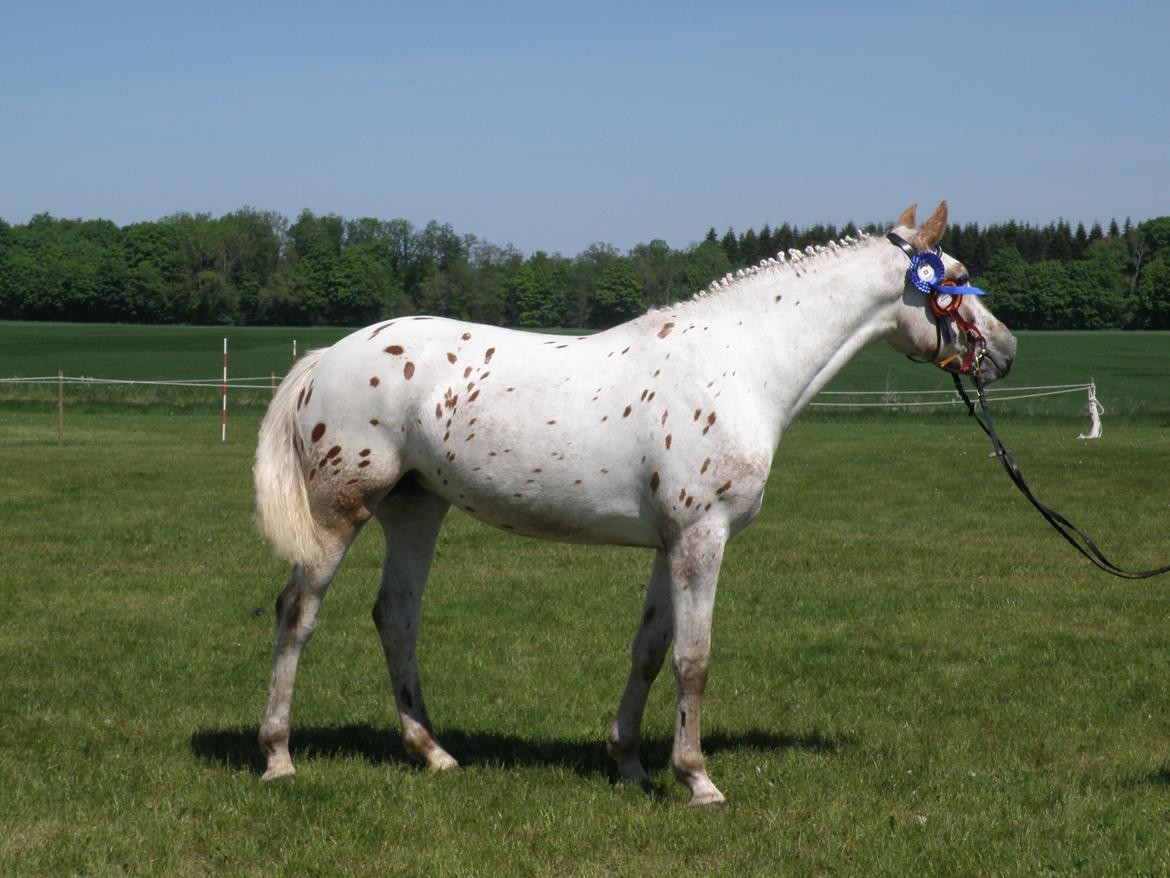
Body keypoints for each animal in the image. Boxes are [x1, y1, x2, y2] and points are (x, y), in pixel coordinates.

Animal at [253, 201, 1015, 810]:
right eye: (954, 278)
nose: (1005, 350)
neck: (742, 362)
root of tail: (327, 356)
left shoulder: (670, 544)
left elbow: (650, 651)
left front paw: (629, 763)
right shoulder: (702, 537)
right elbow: (694, 659)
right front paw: (697, 780)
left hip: (416, 510)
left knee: (396, 618)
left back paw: (434, 753)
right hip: (337, 513)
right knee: (298, 613)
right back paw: (279, 758)